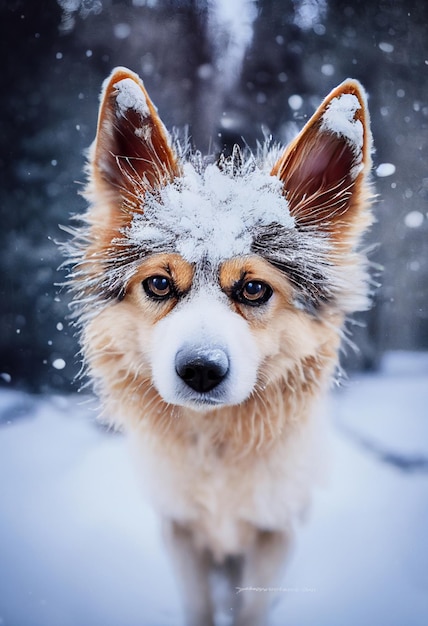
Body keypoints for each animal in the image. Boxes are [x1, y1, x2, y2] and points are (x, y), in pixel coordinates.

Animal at [65, 68, 372, 624]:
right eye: (159, 284)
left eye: (253, 289)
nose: (201, 371)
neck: (216, 448)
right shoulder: (179, 532)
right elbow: (199, 608)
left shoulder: (276, 533)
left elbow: (250, 610)